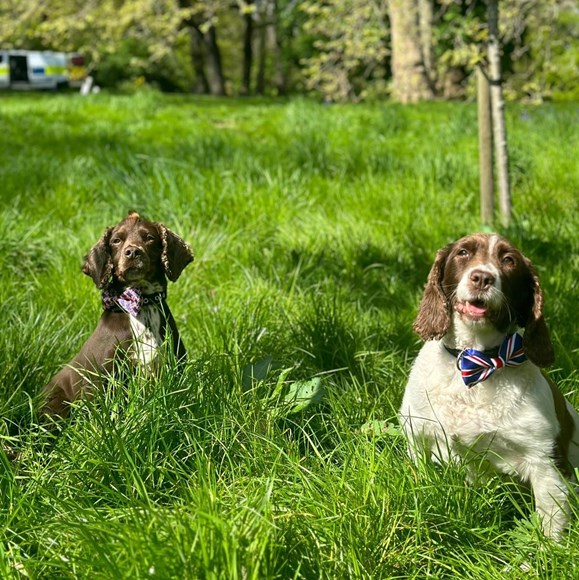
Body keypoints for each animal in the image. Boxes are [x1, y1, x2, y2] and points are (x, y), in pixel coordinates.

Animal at [42, 211, 195, 420]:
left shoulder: (175, 368)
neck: (142, 303)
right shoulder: (99, 380)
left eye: (149, 238)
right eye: (116, 240)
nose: (132, 252)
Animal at [402, 232, 579, 540]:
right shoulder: (418, 436)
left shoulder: (545, 460)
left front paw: (545, 550)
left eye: (508, 261)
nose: (482, 277)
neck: (476, 362)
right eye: (462, 252)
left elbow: (551, 518)